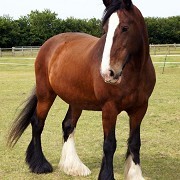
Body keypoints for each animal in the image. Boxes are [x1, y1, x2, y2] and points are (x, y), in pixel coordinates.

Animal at [7, 0, 155, 179]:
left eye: (125, 27)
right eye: (105, 30)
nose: (108, 72)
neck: (133, 72)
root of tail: (49, 44)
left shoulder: (140, 109)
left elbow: (134, 142)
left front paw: (134, 174)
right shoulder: (109, 108)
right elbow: (109, 144)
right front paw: (106, 175)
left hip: (75, 100)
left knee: (68, 125)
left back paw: (73, 166)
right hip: (46, 94)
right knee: (37, 123)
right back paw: (40, 164)